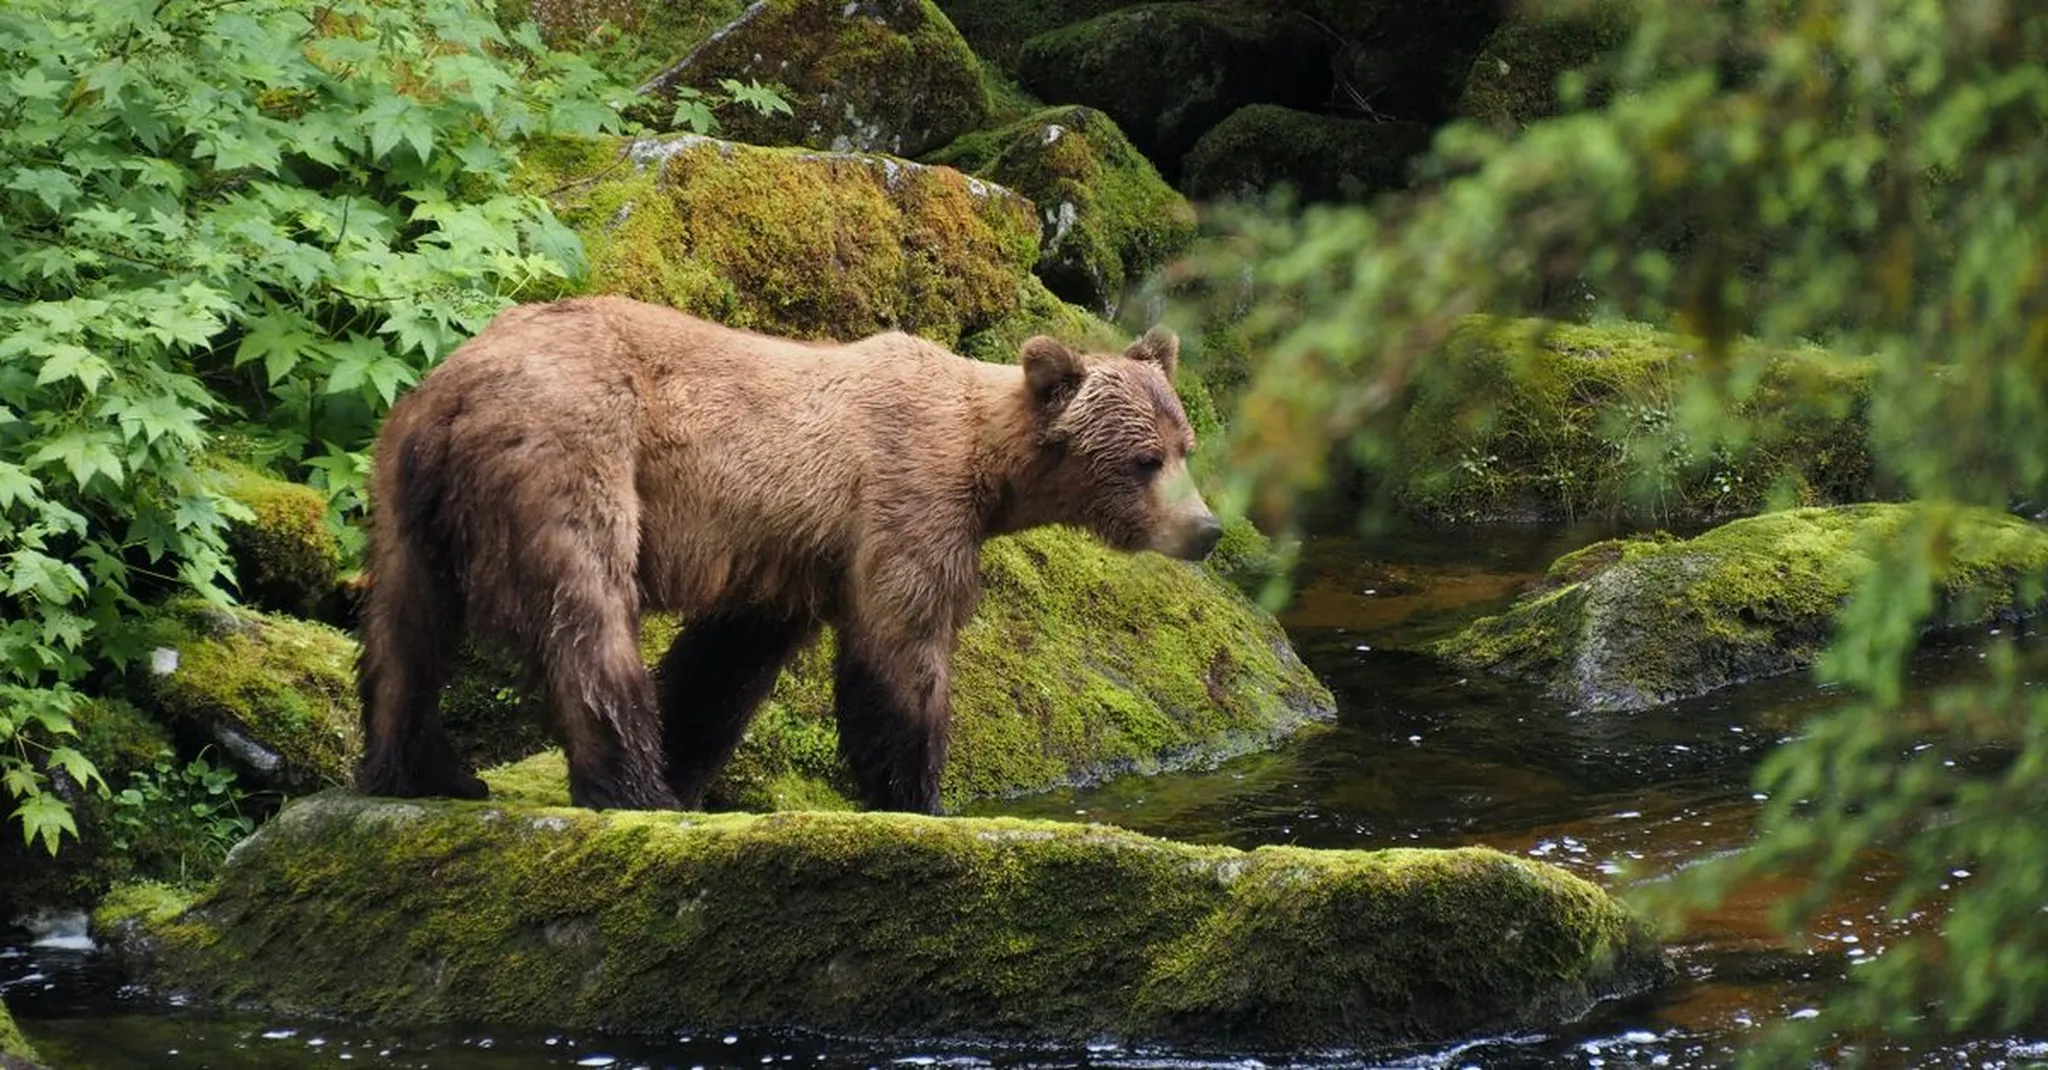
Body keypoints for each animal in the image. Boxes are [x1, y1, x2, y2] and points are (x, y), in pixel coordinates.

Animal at [354, 295, 1221, 814]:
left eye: (1185, 445)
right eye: (1144, 460)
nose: (1207, 529)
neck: (986, 461)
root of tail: (456, 391)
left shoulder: (788, 553)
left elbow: (724, 663)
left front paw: (690, 758)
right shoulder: (905, 502)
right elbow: (902, 647)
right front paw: (917, 792)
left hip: (405, 491)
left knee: (404, 631)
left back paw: (422, 769)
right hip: (572, 453)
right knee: (588, 615)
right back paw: (632, 786)